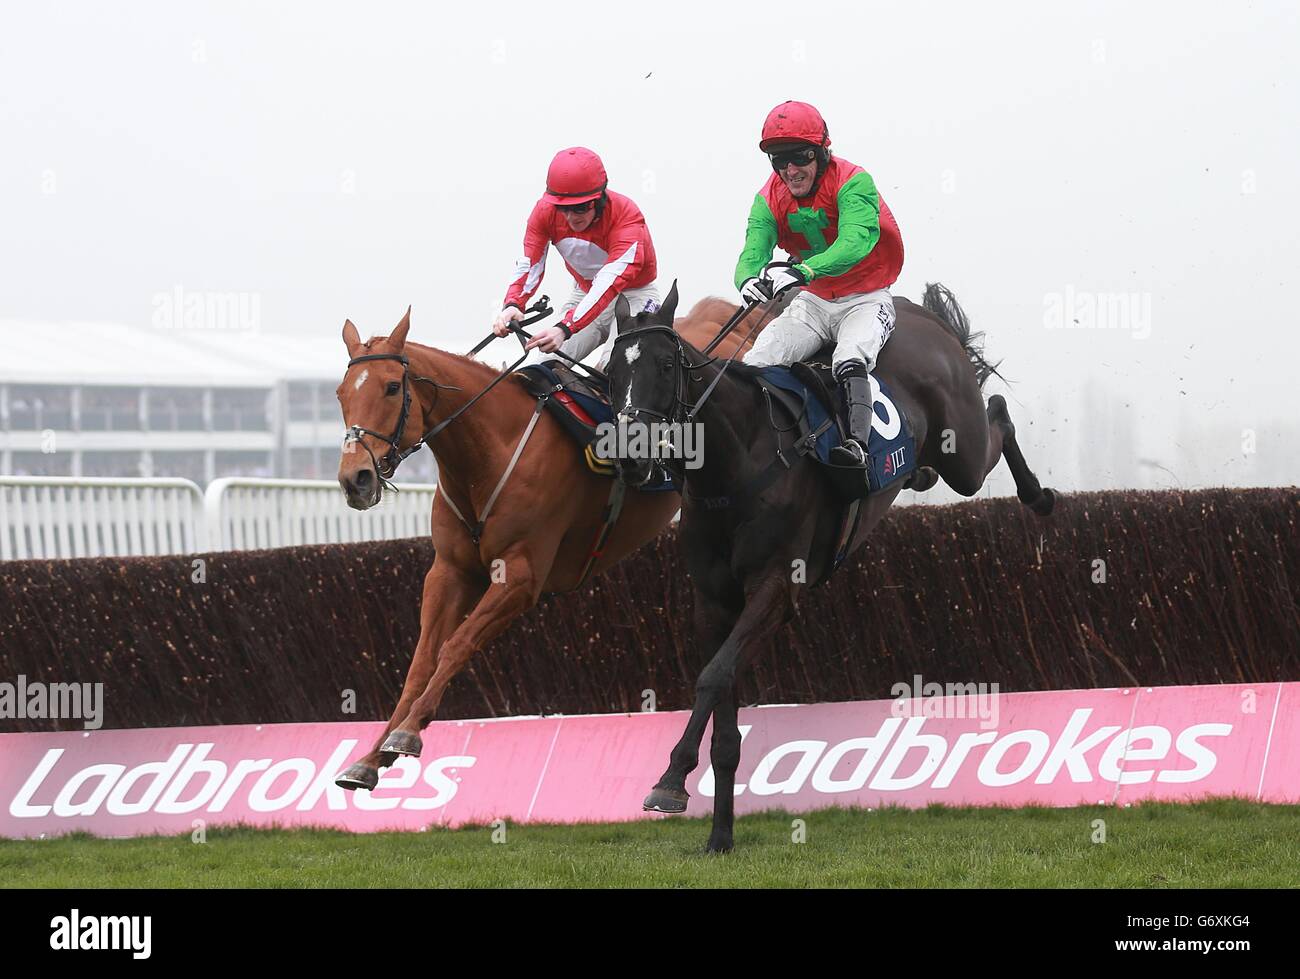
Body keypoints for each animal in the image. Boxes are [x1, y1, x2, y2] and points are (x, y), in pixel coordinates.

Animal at [330, 301, 769, 790]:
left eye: (392, 387)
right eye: (340, 394)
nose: (355, 479)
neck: (491, 452)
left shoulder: (522, 577)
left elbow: (457, 645)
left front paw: (407, 732)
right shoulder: (449, 571)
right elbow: (421, 662)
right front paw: (371, 757)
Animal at [603, 280, 1050, 847]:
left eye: (664, 365)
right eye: (610, 373)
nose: (630, 455)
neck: (736, 464)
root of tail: (919, 314)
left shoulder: (776, 589)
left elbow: (712, 676)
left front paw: (670, 779)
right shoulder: (713, 601)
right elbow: (723, 706)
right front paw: (719, 836)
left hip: (963, 453)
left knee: (995, 413)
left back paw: (1038, 495)